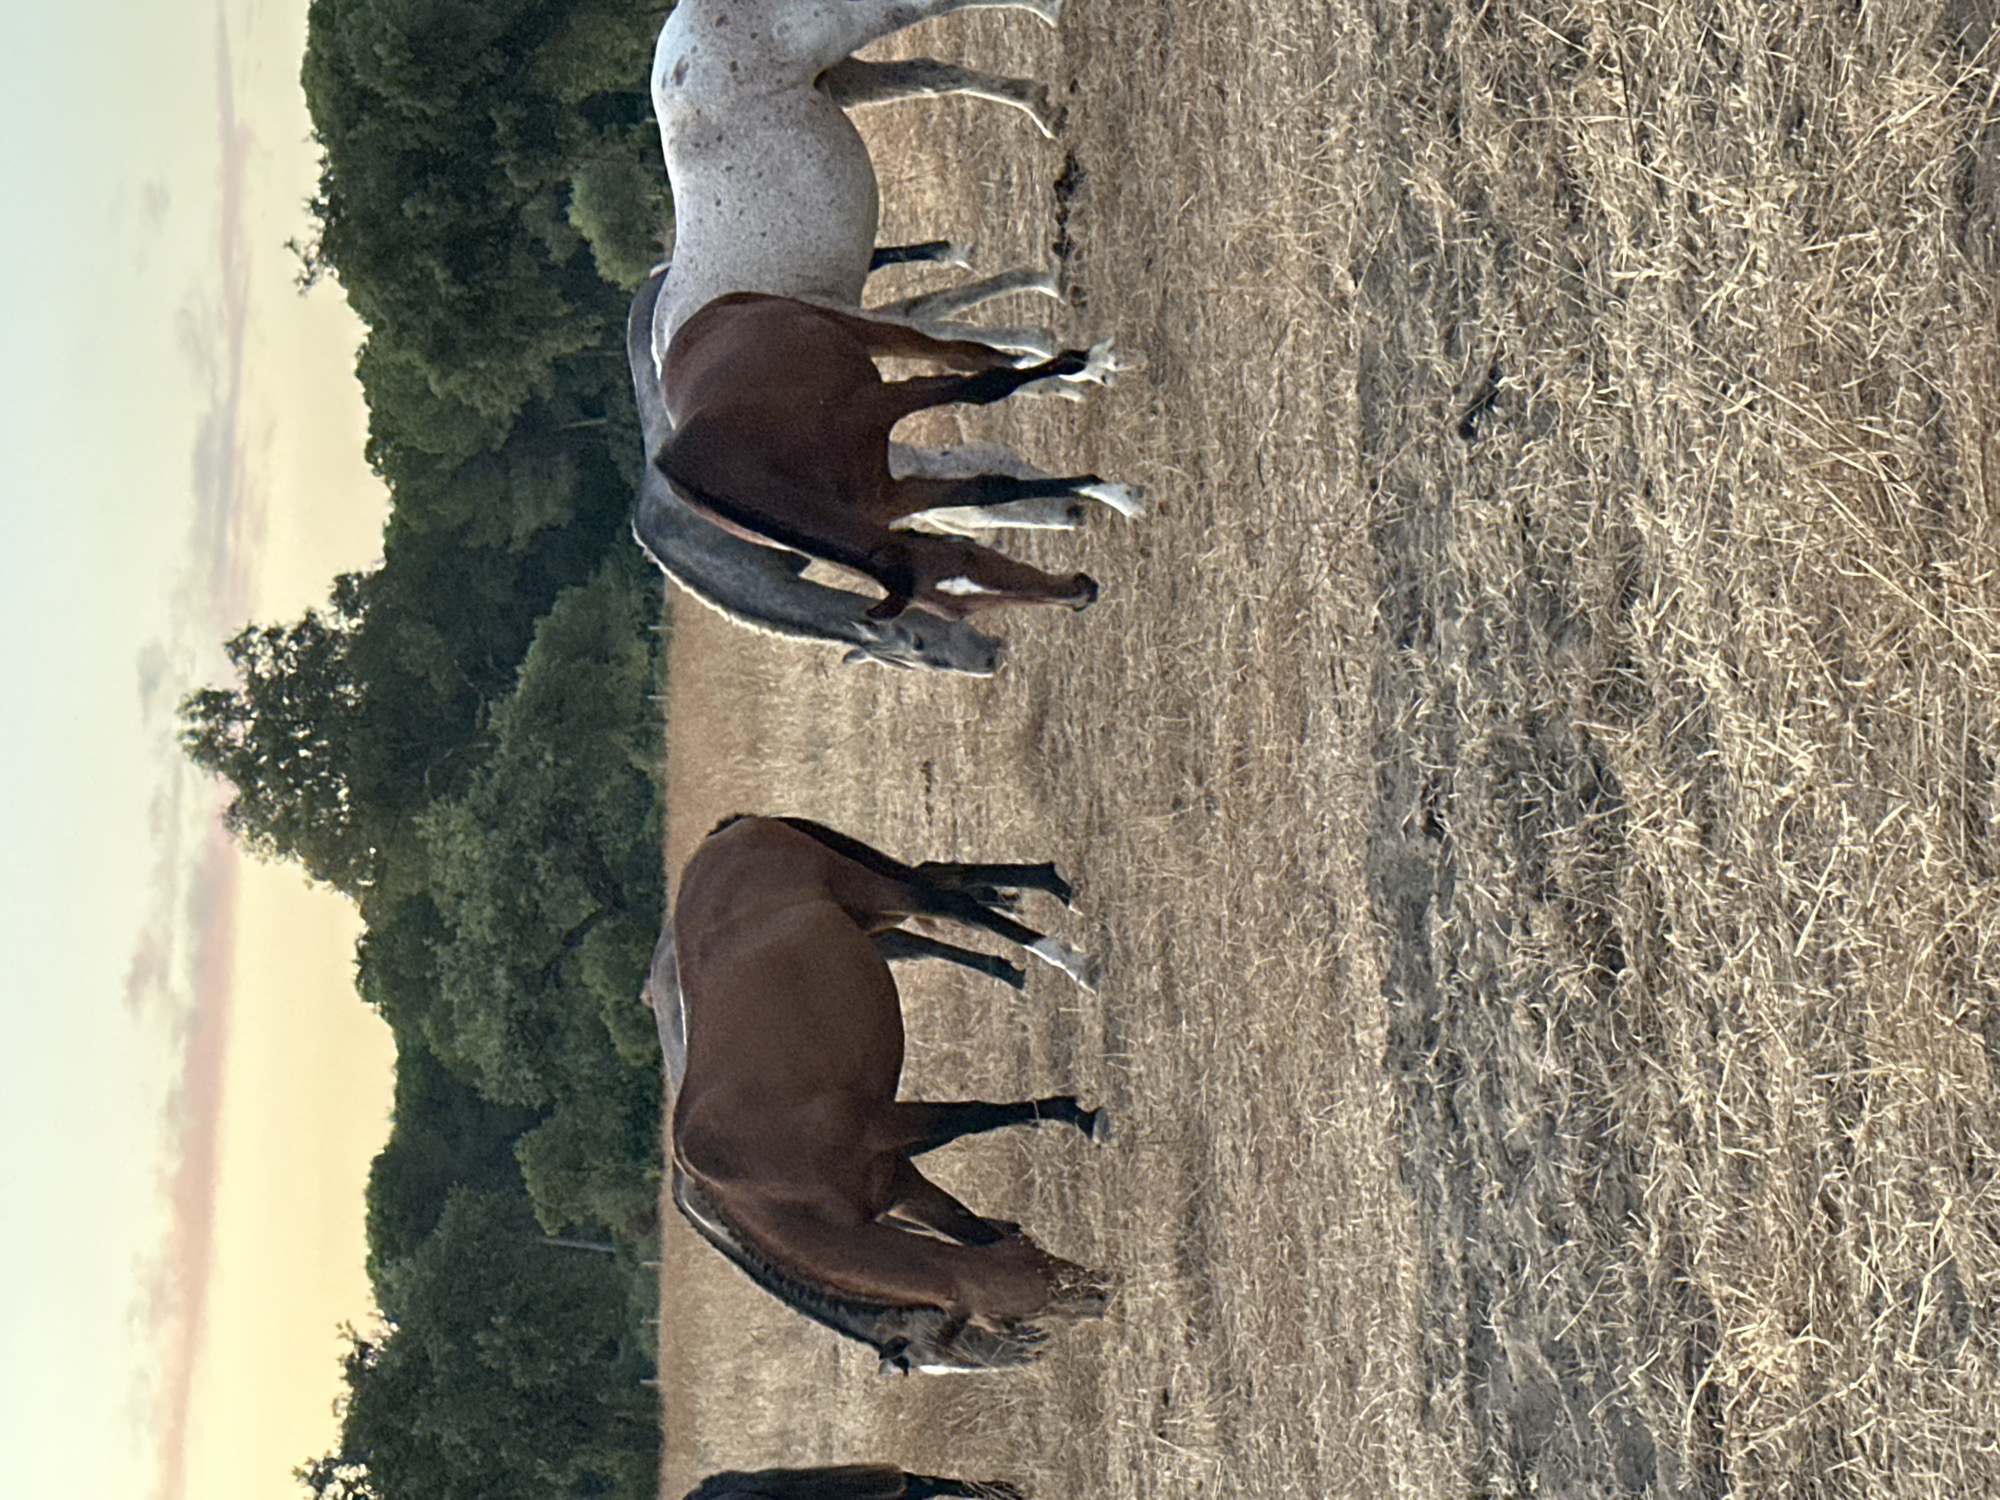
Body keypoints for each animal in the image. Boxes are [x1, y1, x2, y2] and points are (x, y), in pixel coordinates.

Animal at [656, 294, 1133, 620]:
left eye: (973, 554)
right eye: (961, 611)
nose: (1079, 592)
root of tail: (691, 325)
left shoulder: (881, 401)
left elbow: (985, 387)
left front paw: (1105, 486)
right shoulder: (888, 497)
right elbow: (987, 489)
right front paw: (1097, 488)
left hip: (857, 329)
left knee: (964, 354)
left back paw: (1082, 366)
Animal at [665, 814, 1108, 1372]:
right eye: (1008, 1320)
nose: (1099, 1290)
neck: (768, 1187)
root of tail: (719, 840)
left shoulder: (885, 1125)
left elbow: (976, 1114)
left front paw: (1079, 1115)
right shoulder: (899, 1185)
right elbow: (969, 1227)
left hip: (872, 889)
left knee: (950, 903)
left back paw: (1073, 960)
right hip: (871, 915)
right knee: (943, 878)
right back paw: (1047, 898)